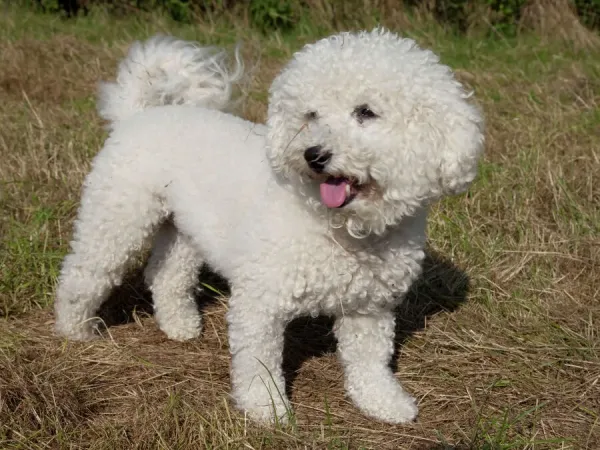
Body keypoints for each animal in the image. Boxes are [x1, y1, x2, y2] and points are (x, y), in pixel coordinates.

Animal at [55, 29, 488, 426]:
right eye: (311, 115)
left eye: (366, 112)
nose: (314, 155)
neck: (343, 227)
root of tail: (140, 113)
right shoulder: (260, 301)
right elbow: (258, 361)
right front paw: (266, 409)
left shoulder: (369, 308)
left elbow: (369, 362)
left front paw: (384, 402)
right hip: (117, 219)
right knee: (83, 274)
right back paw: (75, 329)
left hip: (185, 231)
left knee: (166, 275)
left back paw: (180, 326)